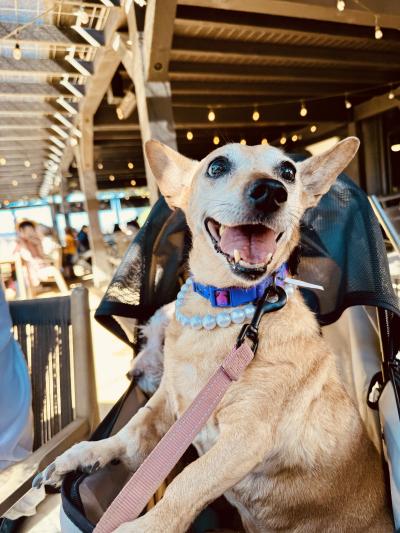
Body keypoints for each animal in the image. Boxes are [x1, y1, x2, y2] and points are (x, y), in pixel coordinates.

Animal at [36, 139, 392, 528]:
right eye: (217, 167)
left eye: (288, 172)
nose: (271, 191)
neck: (224, 312)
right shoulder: (168, 399)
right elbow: (132, 432)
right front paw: (87, 453)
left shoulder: (245, 438)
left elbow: (187, 483)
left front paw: (146, 526)